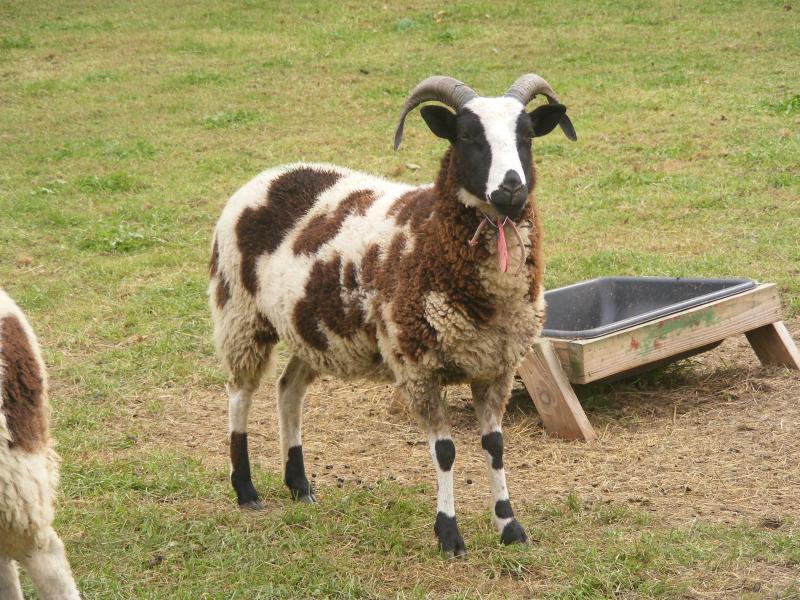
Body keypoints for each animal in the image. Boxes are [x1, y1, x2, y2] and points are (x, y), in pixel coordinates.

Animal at [209, 74, 576, 555]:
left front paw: (509, 527)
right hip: (239, 312)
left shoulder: (495, 366)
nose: (511, 187)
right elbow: (445, 452)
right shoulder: (418, 365)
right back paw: (246, 490)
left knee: (288, 389)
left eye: (527, 136)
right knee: (239, 394)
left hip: (313, 329)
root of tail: (270, 175)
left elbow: (495, 446)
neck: (430, 236)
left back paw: (300, 486)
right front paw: (449, 534)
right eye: (466, 137)